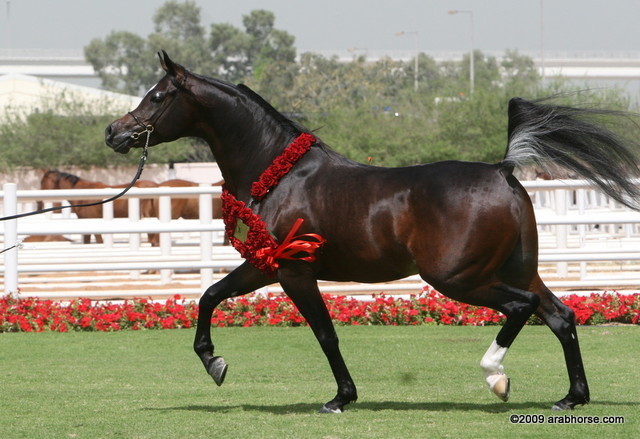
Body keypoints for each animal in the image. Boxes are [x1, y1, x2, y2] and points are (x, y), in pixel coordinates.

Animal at [105, 51, 640, 414]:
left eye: (157, 96)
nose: (114, 132)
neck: (278, 172)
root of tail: (502, 170)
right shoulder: (265, 266)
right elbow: (210, 296)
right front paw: (214, 363)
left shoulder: (293, 270)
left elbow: (324, 333)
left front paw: (341, 398)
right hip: (517, 269)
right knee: (561, 316)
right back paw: (571, 397)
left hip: (458, 278)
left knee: (522, 308)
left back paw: (496, 377)